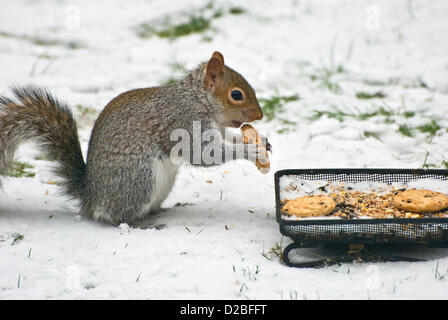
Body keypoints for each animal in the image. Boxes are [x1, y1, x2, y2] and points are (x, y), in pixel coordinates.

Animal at [0, 51, 268, 225]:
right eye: (236, 94)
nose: (260, 115)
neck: (198, 99)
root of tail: (90, 195)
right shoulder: (185, 122)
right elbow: (203, 153)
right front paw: (250, 151)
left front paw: (261, 142)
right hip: (139, 178)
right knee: (117, 216)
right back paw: (144, 224)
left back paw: (161, 212)